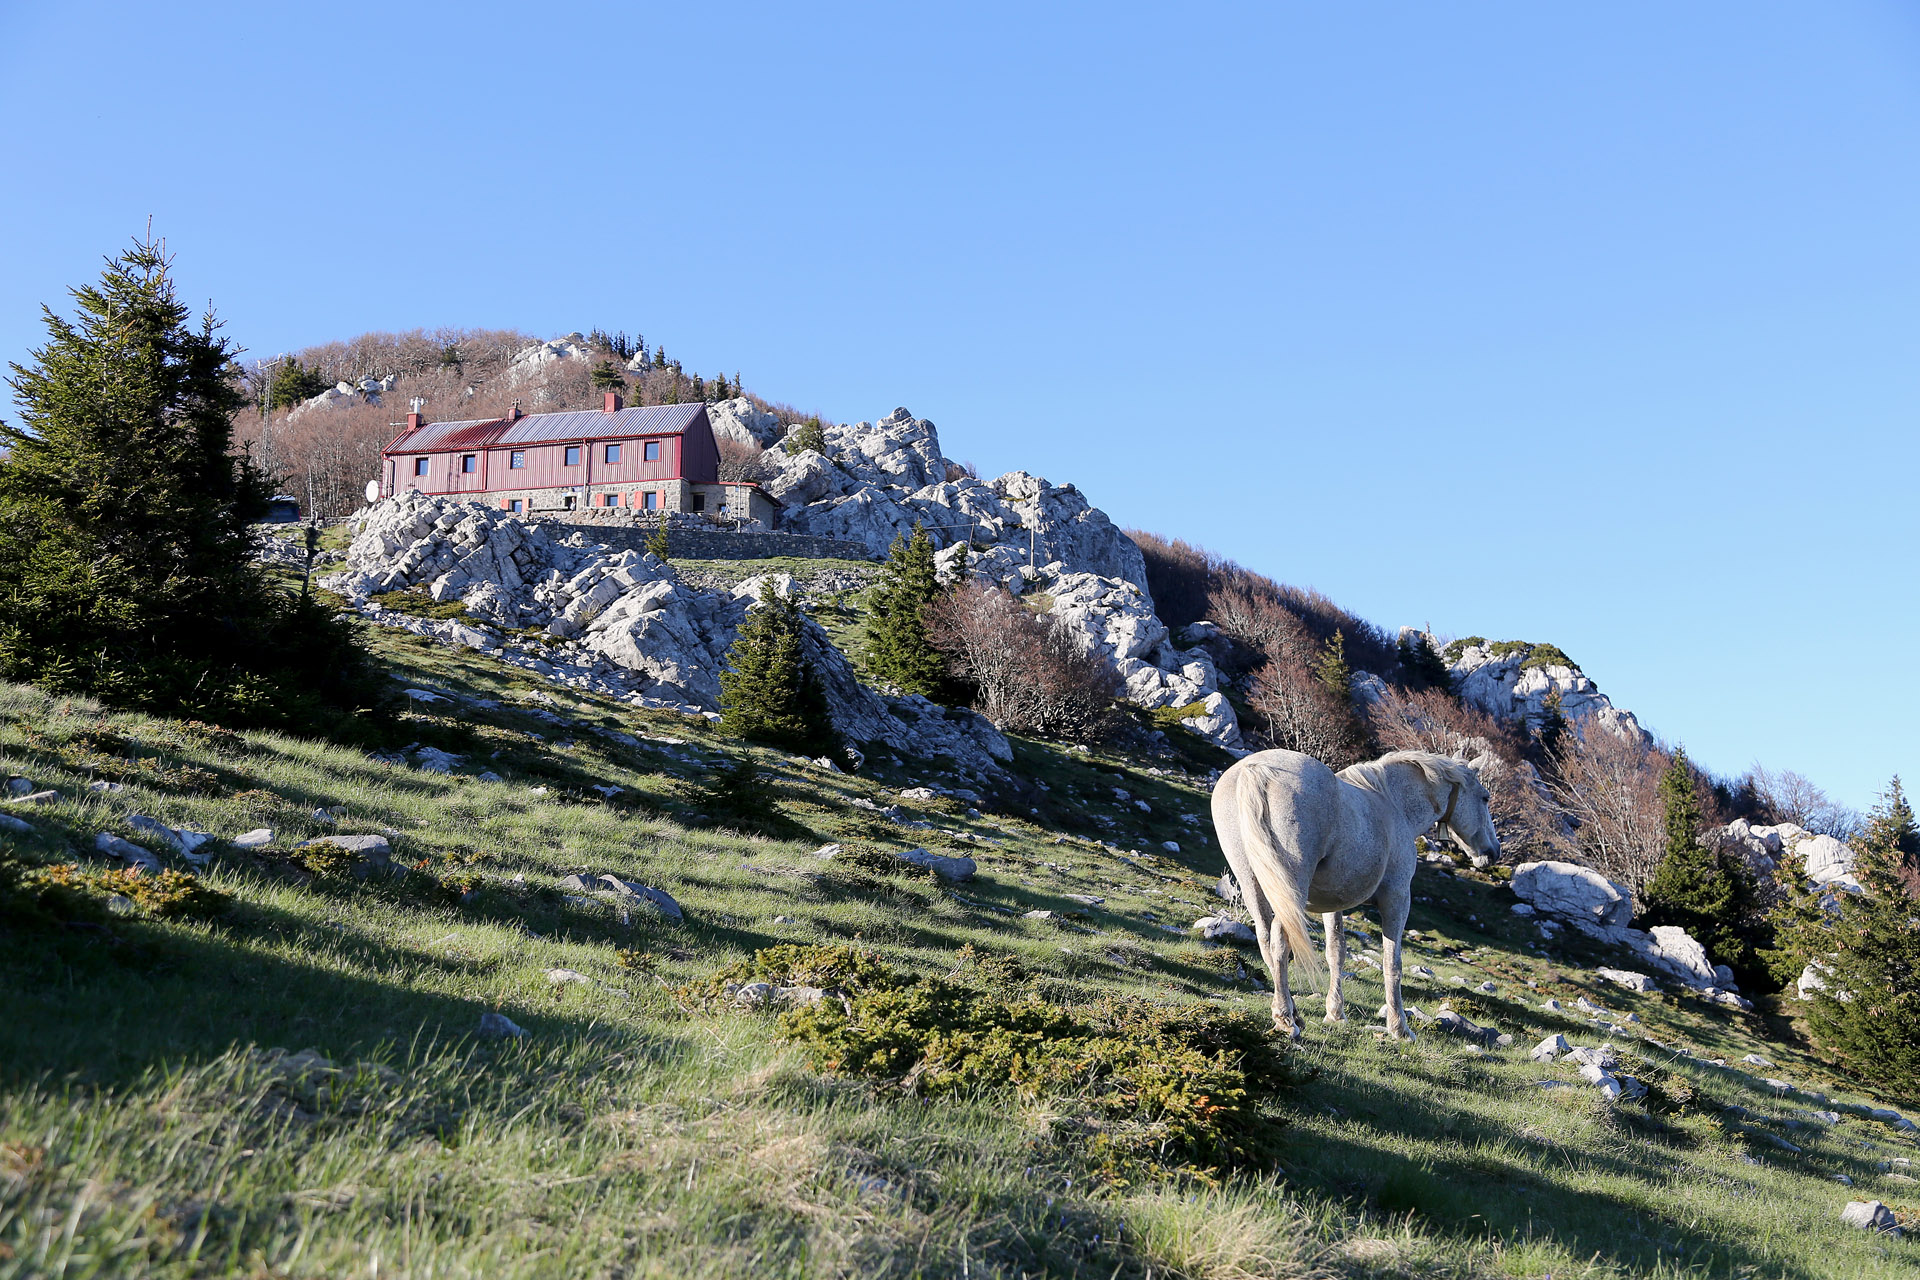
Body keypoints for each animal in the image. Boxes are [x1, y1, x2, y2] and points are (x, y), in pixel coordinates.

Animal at [1213, 752, 1497, 1043]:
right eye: (1485, 798)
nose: (1492, 852)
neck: (1393, 804)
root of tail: (1255, 769)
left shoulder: (1333, 904)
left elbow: (1336, 952)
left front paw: (1335, 1013)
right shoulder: (1397, 899)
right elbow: (1392, 962)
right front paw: (1399, 1028)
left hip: (1252, 883)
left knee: (1265, 939)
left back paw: (1294, 1013)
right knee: (1281, 942)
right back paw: (1285, 1021)